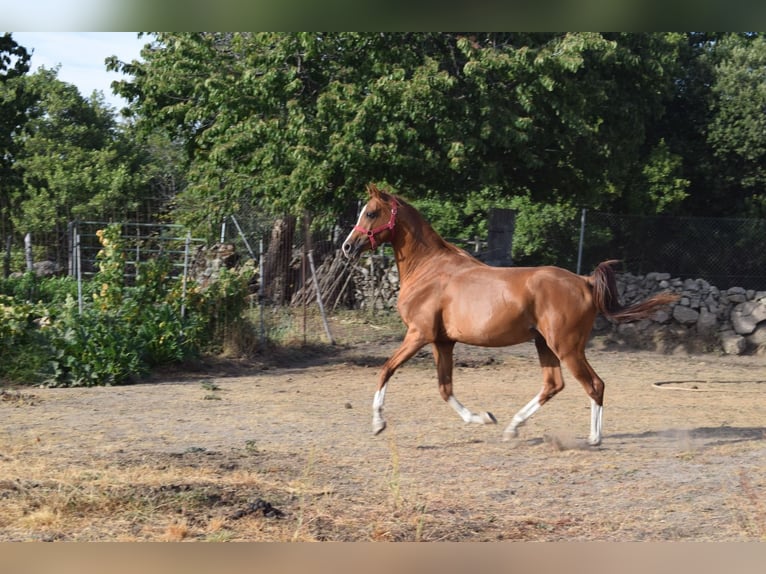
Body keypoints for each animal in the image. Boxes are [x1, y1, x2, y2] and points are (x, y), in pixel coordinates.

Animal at [342, 182, 680, 448]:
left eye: (370, 213)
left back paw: (593, 438)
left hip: (567, 347)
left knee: (594, 384)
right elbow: (445, 388)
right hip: (545, 344)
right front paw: (483, 417)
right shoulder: (442, 341)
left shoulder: (418, 334)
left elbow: (386, 370)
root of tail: (584, 281)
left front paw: (378, 424)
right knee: (553, 384)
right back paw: (512, 428)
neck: (429, 270)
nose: (347, 247)